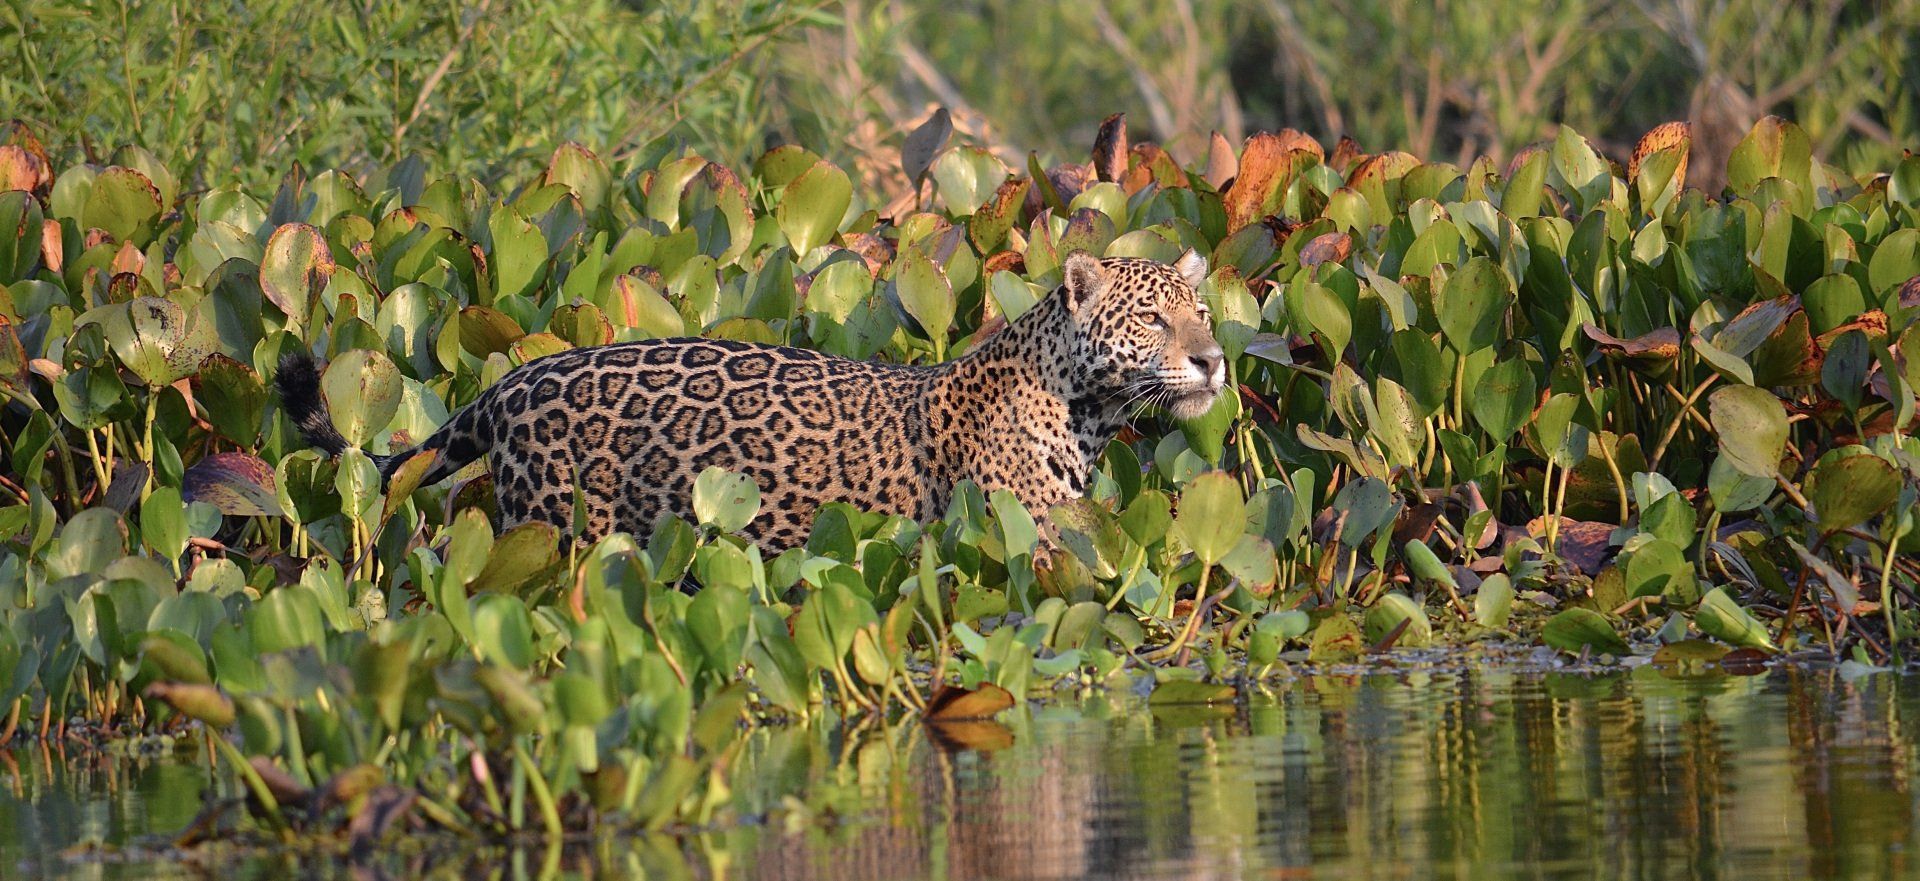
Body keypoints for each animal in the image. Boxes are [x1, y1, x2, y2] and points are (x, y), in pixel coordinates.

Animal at [276, 250, 1226, 551]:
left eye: (1204, 312)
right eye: (1152, 318)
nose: (1214, 360)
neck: (1086, 409)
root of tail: (509, 379)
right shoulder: (1031, 544)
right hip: (550, 528)